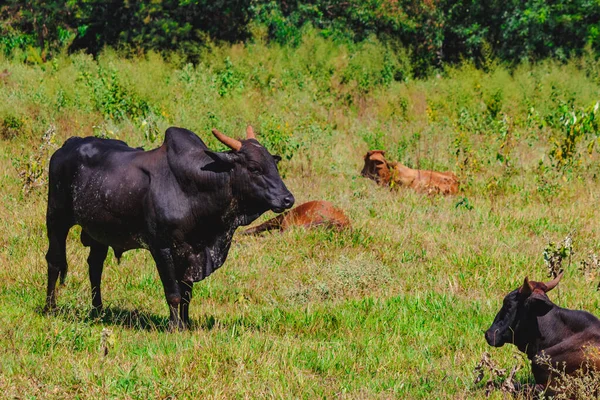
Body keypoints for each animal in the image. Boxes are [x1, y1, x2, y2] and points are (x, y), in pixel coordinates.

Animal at [44, 126, 292, 330]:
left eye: (274, 164)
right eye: (254, 168)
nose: (288, 199)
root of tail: (67, 146)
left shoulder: (191, 252)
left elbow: (186, 294)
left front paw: (186, 323)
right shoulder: (162, 248)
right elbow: (173, 292)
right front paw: (174, 327)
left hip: (99, 234)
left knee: (95, 267)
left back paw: (98, 311)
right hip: (56, 219)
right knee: (54, 261)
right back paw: (50, 308)